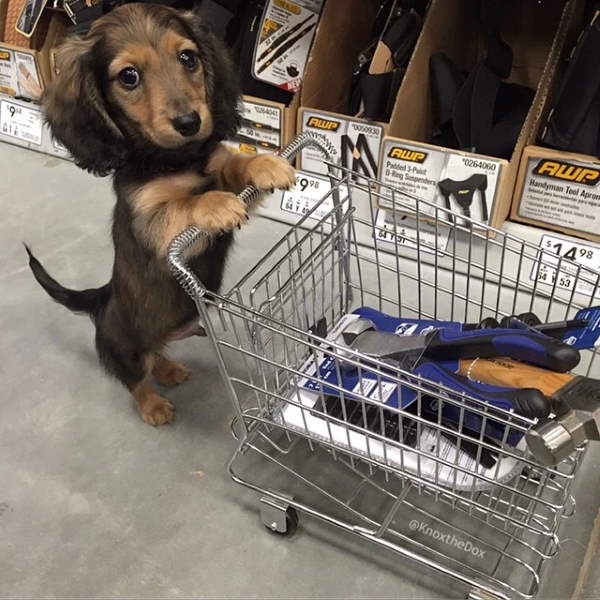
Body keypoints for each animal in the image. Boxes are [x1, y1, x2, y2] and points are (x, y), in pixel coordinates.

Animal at [27, 2, 296, 424]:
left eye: (188, 57)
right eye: (128, 76)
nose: (190, 122)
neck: (175, 161)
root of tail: (101, 298)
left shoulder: (217, 165)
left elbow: (231, 166)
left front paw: (265, 164)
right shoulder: (153, 223)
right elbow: (185, 204)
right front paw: (216, 204)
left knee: (157, 355)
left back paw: (169, 369)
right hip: (125, 349)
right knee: (136, 379)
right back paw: (153, 406)